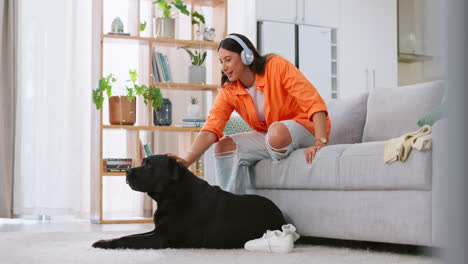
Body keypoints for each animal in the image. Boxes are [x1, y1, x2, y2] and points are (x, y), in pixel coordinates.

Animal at [92, 155, 286, 250]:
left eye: (149, 165)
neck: (171, 194)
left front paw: (105, 244)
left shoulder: (162, 237)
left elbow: (130, 239)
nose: (127, 171)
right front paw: (105, 240)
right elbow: (130, 235)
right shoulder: (157, 230)